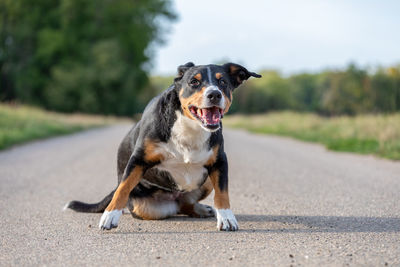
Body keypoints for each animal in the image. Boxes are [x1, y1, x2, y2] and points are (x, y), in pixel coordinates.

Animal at [64, 62, 260, 232]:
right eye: (194, 82)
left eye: (223, 82)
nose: (214, 94)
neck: (189, 128)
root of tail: (174, 197)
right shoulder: (138, 160)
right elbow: (123, 188)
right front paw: (109, 216)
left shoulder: (219, 163)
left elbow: (222, 194)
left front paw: (226, 218)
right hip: (145, 208)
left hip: (205, 181)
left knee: (185, 204)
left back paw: (201, 209)